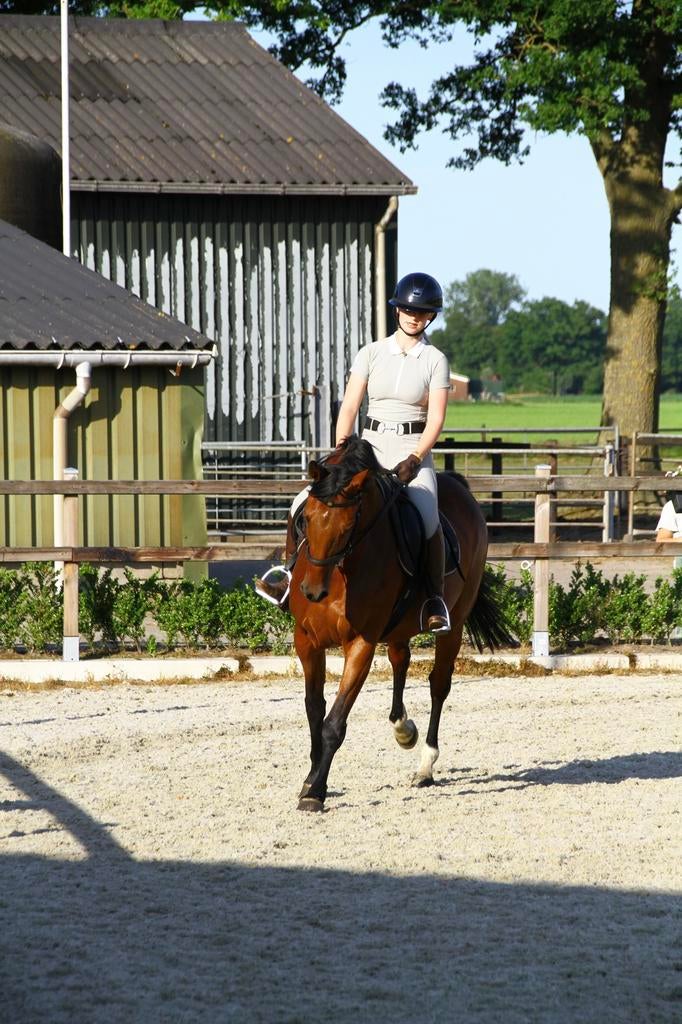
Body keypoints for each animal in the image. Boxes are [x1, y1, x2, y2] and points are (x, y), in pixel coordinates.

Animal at [289, 435, 514, 811]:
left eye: (348, 527)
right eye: (304, 518)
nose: (312, 591)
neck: (342, 573)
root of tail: (459, 485)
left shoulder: (361, 644)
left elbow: (334, 722)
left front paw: (315, 791)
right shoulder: (306, 640)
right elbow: (313, 710)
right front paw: (310, 777)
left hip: (453, 623)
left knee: (439, 684)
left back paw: (425, 766)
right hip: (398, 627)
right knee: (400, 660)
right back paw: (403, 727)